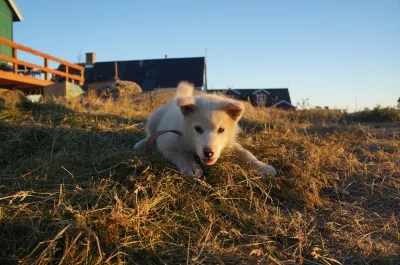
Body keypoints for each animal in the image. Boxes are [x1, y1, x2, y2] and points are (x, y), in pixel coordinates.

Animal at [133, 81, 276, 176]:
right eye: (198, 128)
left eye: (221, 130)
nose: (208, 153)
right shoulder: (167, 145)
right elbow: (182, 155)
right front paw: (191, 166)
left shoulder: (229, 144)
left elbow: (246, 153)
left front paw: (263, 167)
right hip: (154, 119)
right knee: (150, 134)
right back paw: (140, 144)